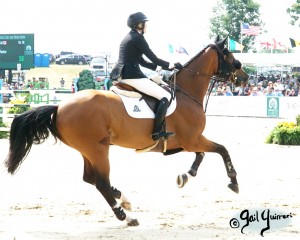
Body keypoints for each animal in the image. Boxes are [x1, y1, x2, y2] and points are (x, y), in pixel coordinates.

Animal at [4, 35, 248, 225]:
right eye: (229, 55)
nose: (244, 77)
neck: (186, 92)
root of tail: (59, 107)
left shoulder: (189, 141)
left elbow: (202, 155)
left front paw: (186, 176)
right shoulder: (192, 139)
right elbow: (222, 149)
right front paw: (233, 182)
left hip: (88, 149)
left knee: (90, 178)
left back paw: (124, 199)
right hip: (98, 150)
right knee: (101, 182)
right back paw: (127, 216)